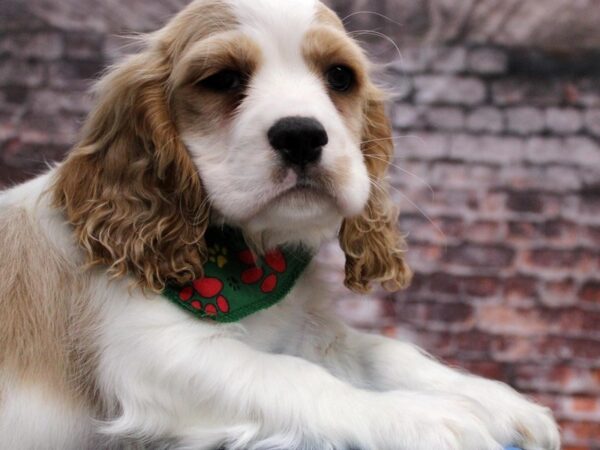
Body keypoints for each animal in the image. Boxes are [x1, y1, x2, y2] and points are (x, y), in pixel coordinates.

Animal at [1, 0, 564, 450]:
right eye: (223, 80)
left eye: (339, 76)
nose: (301, 136)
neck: (249, 261)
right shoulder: (152, 356)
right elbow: (294, 376)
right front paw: (429, 418)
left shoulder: (315, 334)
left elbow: (384, 351)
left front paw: (500, 402)